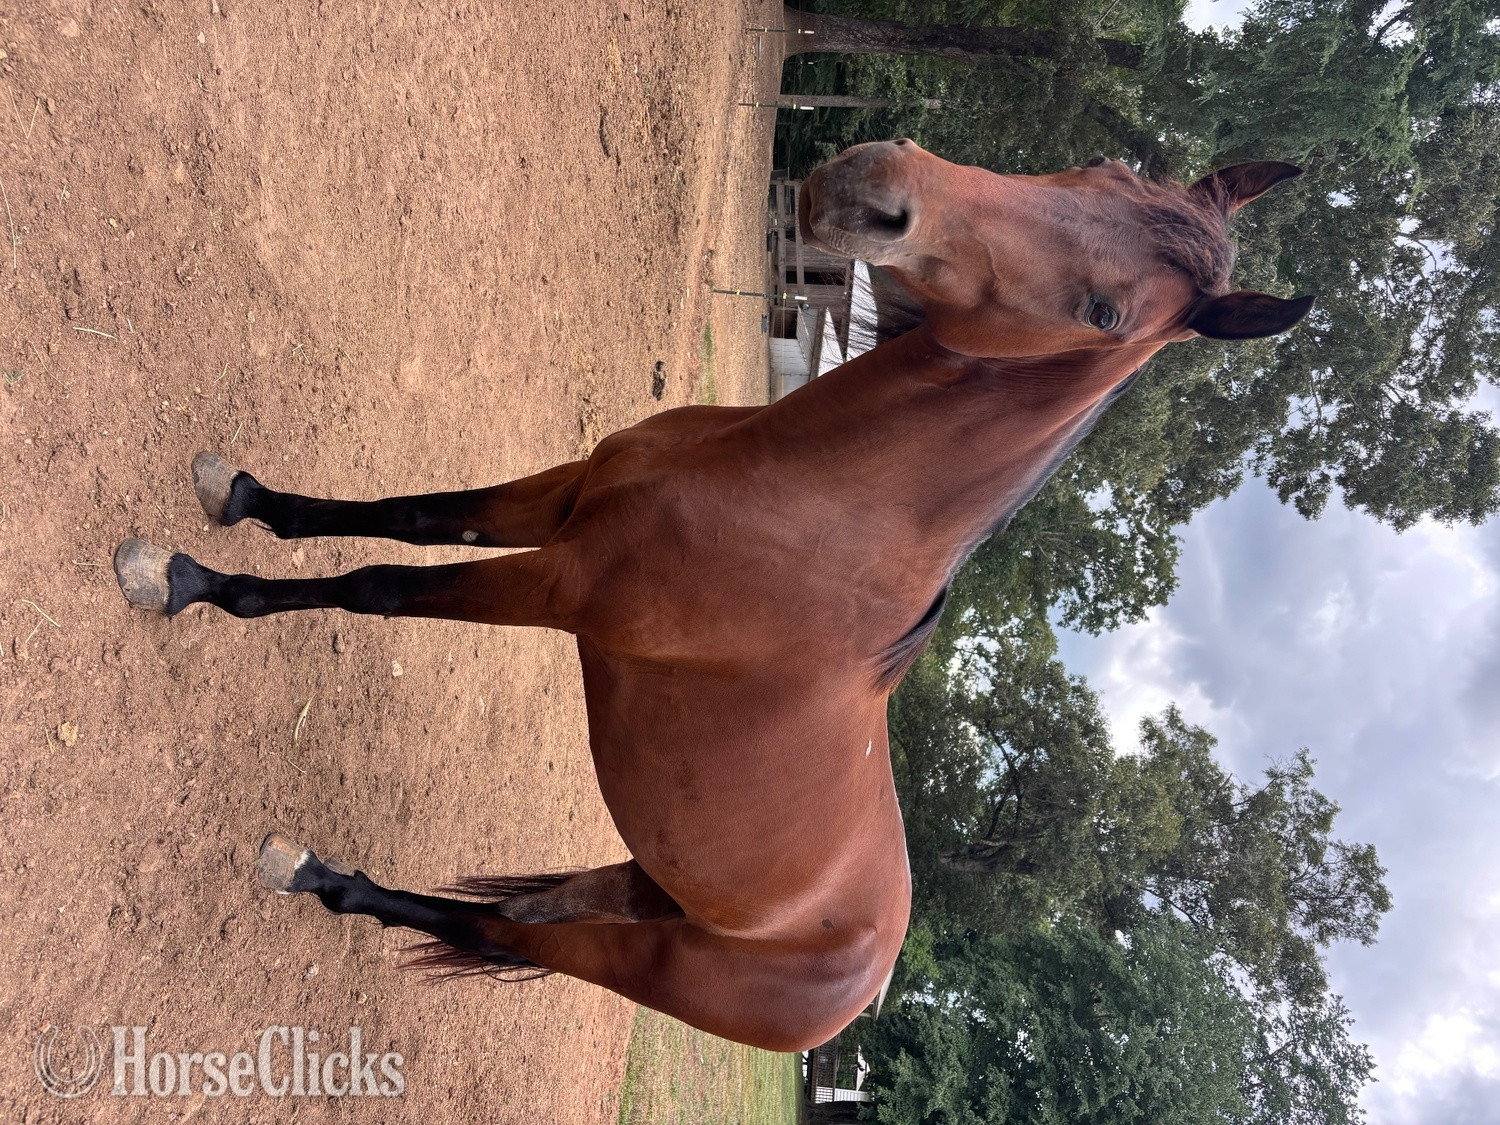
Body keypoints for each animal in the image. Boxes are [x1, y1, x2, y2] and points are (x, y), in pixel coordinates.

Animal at [113, 140, 1312, 1052]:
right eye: (1105, 167)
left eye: (1107, 310)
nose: (874, 186)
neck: (803, 505)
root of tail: (863, 978)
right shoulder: (558, 499)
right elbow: (412, 513)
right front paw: (242, 495)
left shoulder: (556, 584)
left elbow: (375, 587)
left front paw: (185, 581)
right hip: (638, 882)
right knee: (504, 914)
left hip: (628, 953)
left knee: (495, 934)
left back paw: (311, 872)